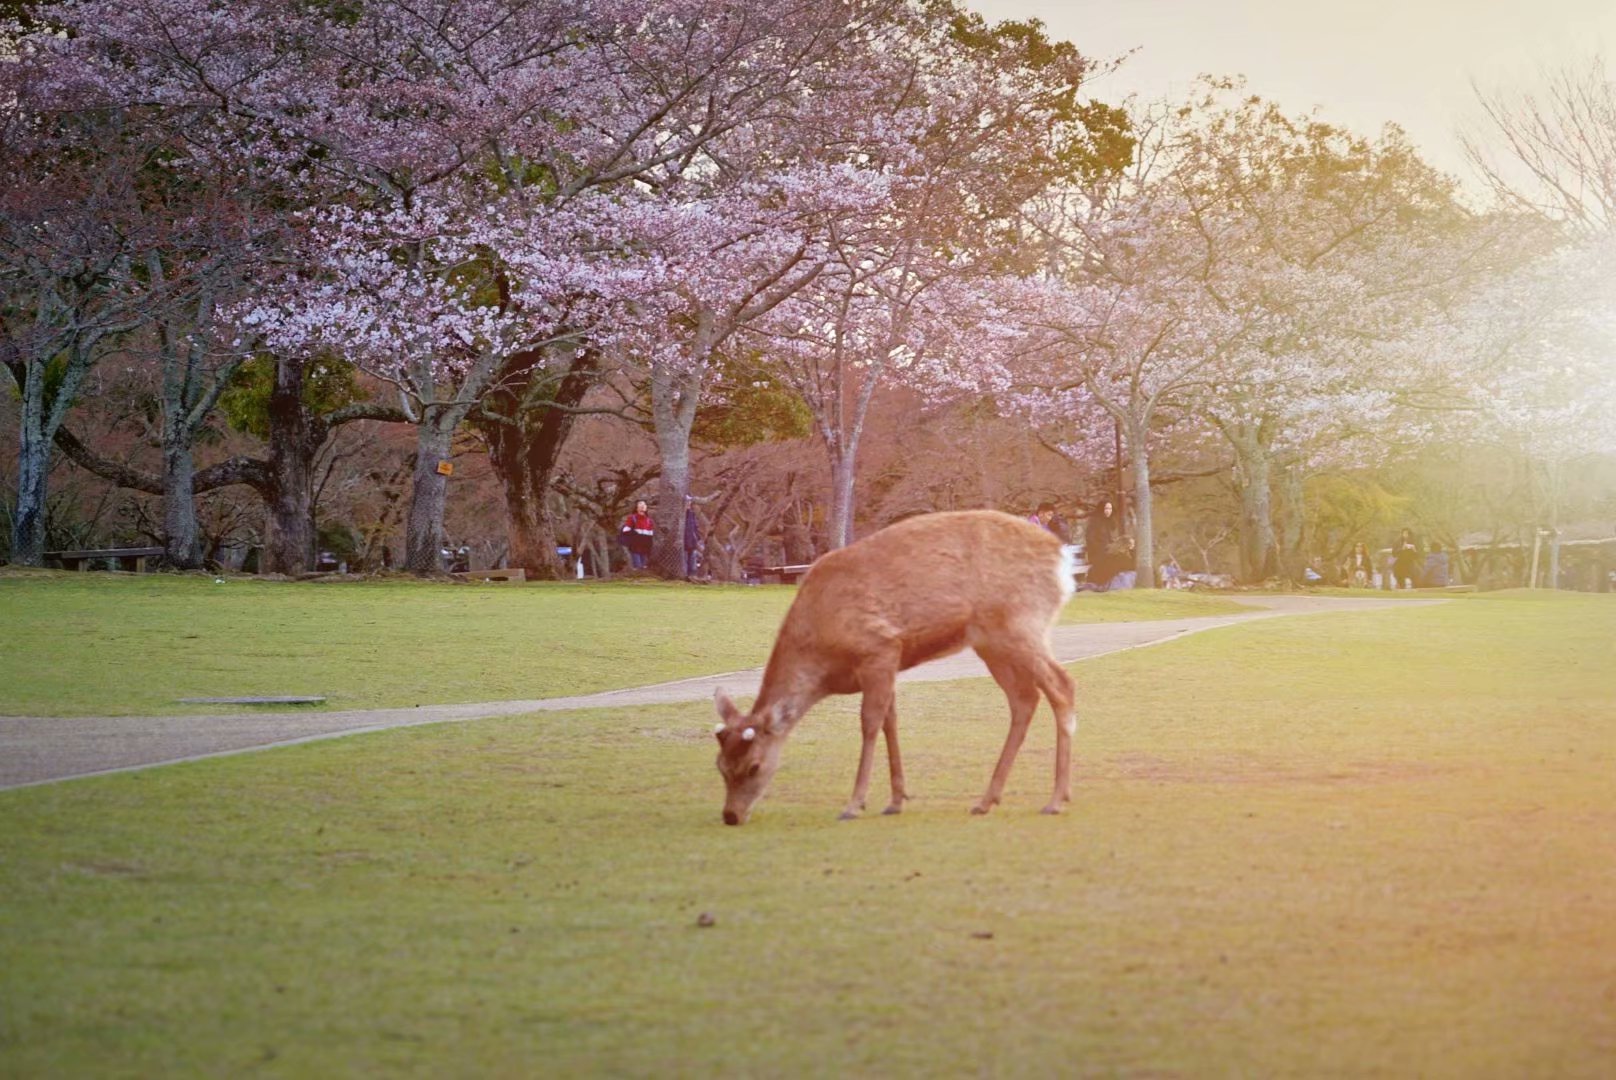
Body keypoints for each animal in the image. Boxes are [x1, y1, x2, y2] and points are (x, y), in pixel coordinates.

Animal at [714, 510, 1079, 821]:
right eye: (720, 765)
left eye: (754, 766)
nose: (731, 815)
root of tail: (1062, 559)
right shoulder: (888, 664)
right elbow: (891, 722)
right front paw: (895, 800)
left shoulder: (878, 648)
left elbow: (870, 723)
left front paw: (854, 803)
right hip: (992, 644)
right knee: (1024, 698)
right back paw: (987, 799)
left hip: (1021, 624)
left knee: (1062, 685)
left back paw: (1056, 799)